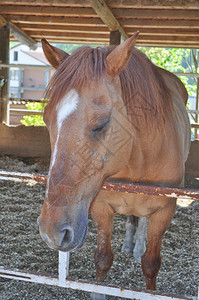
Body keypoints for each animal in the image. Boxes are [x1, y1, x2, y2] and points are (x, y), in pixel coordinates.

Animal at [38, 32, 190, 292]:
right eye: (47, 120)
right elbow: (103, 260)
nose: (51, 231)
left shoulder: (164, 212)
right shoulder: (101, 207)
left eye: (101, 124)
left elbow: (151, 264)